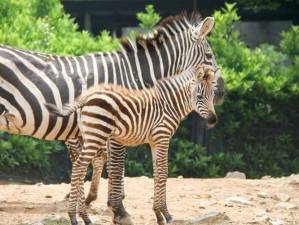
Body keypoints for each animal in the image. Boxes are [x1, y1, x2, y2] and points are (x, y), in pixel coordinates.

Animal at [0, 12, 225, 202]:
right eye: (209, 56)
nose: (222, 92)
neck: (133, 75)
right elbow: (115, 162)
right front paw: (114, 203)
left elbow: (106, 161)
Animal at [45, 64, 221, 224]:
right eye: (199, 96)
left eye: (213, 95)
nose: (213, 120)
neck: (169, 106)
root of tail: (88, 96)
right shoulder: (162, 137)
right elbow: (163, 171)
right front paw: (166, 214)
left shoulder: (154, 141)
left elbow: (157, 172)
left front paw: (158, 214)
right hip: (96, 135)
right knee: (79, 165)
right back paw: (74, 217)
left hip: (89, 136)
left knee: (80, 167)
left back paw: (83, 217)